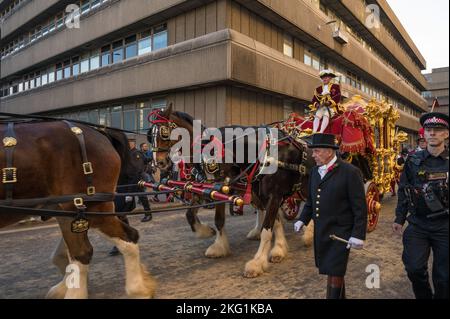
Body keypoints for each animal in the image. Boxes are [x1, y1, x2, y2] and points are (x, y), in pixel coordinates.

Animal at [0, 120, 156, 300]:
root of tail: (98, 132)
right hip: (71, 210)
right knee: (80, 251)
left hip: (93, 209)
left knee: (118, 241)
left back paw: (137, 289)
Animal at [149, 106, 314, 278]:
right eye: (150, 136)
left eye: (164, 132)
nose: (159, 162)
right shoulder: (216, 187)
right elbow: (205, 217)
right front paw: (213, 239)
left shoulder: (273, 194)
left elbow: (268, 228)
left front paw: (258, 262)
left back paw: (308, 234)